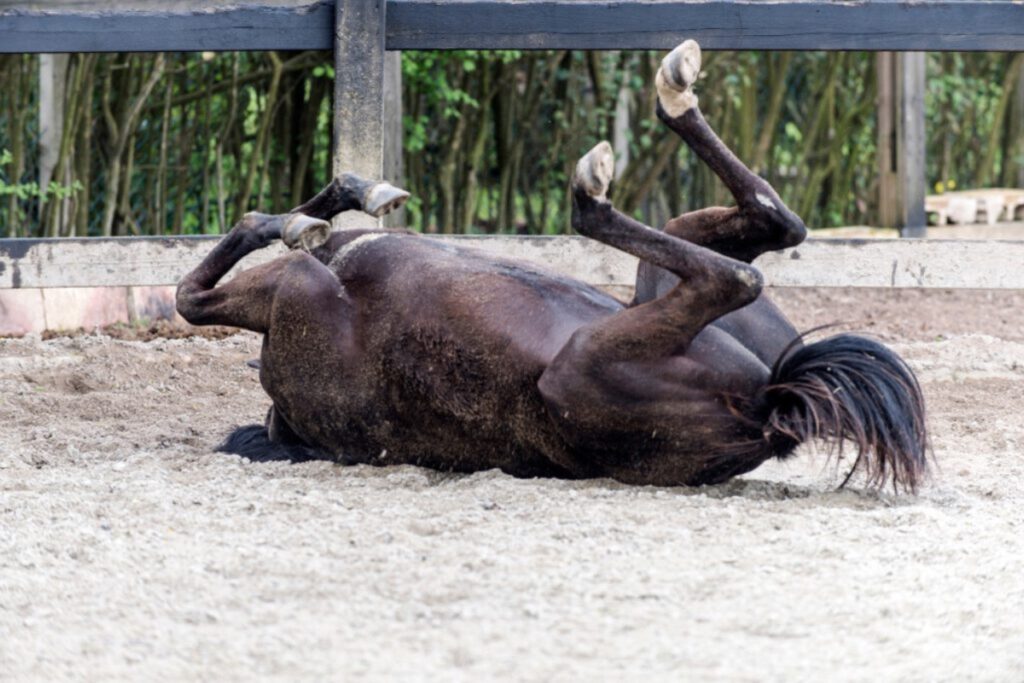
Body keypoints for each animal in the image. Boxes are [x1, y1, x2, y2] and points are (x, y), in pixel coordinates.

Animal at [176, 40, 929, 491]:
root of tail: (769, 402)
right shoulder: (293, 288)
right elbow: (196, 289)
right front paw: (314, 213)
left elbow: (221, 264)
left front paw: (348, 195)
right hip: (588, 360)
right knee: (734, 268)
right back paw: (609, 165)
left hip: (660, 301)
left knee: (762, 233)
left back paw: (668, 95)